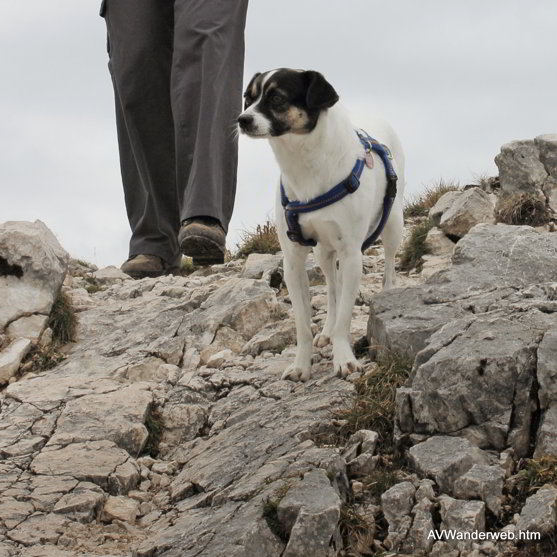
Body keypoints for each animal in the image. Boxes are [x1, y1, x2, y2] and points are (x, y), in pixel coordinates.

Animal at [238, 68, 404, 382]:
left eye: (276, 98)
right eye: (248, 98)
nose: (242, 120)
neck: (304, 164)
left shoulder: (352, 255)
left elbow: (345, 318)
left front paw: (344, 359)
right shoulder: (292, 261)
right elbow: (303, 324)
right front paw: (301, 364)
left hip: (393, 225)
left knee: (388, 266)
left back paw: (388, 294)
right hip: (322, 253)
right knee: (331, 288)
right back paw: (326, 329)